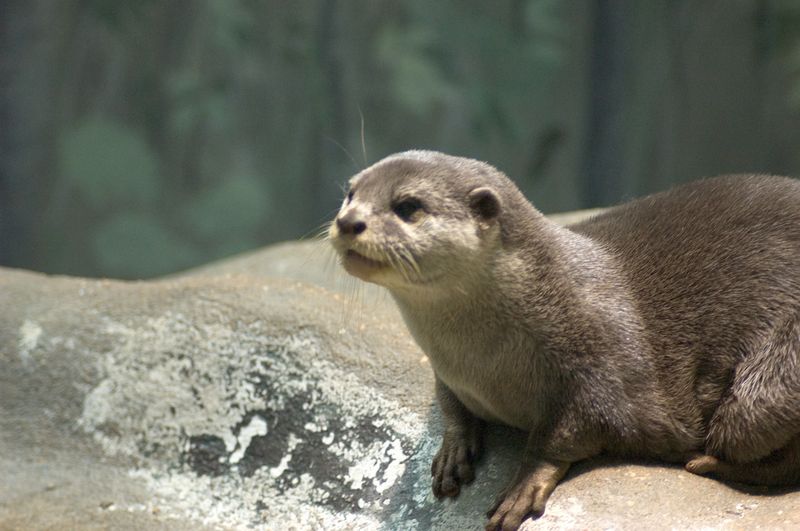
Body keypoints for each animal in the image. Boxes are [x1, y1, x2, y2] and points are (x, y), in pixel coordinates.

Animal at [326, 151, 800, 531]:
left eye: (407, 206)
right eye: (349, 193)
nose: (348, 222)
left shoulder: (602, 372)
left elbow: (563, 435)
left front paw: (523, 484)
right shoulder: (447, 372)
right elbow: (447, 403)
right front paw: (453, 447)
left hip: (768, 383)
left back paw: (707, 461)